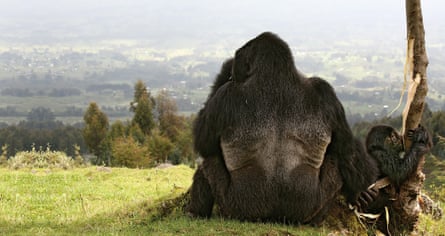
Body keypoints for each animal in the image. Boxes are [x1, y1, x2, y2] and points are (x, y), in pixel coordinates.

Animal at [187, 32, 378, 224]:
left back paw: (194, 213)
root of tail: (276, 217)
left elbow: (203, 142)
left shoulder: (225, 94)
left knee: (207, 163)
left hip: (239, 210)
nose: (234, 72)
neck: (275, 73)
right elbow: (347, 150)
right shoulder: (326, 92)